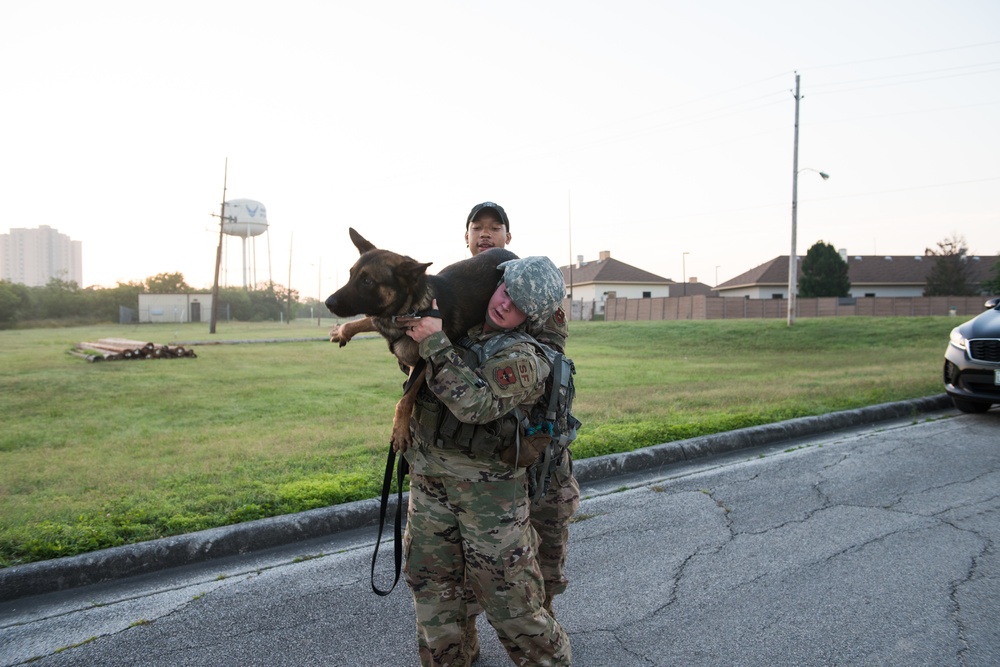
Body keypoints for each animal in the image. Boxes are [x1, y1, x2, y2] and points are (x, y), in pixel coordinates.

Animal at [326, 227, 516, 452]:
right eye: (351, 275)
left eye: (367, 281)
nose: (328, 302)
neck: (411, 308)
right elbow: (366, 320)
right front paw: (342, 331)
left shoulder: (423, 364)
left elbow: (404, 400)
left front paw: (400, 430)